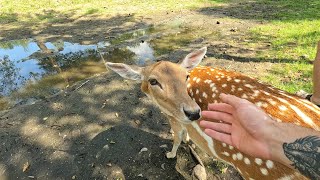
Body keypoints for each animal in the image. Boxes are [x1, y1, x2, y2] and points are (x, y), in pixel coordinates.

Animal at [107, 46, 320, 180]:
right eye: (153, 81)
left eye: (185, 76)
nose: (194, 113)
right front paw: (188, 141)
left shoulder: (173, 117)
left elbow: (176, 137)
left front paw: (170, 154)